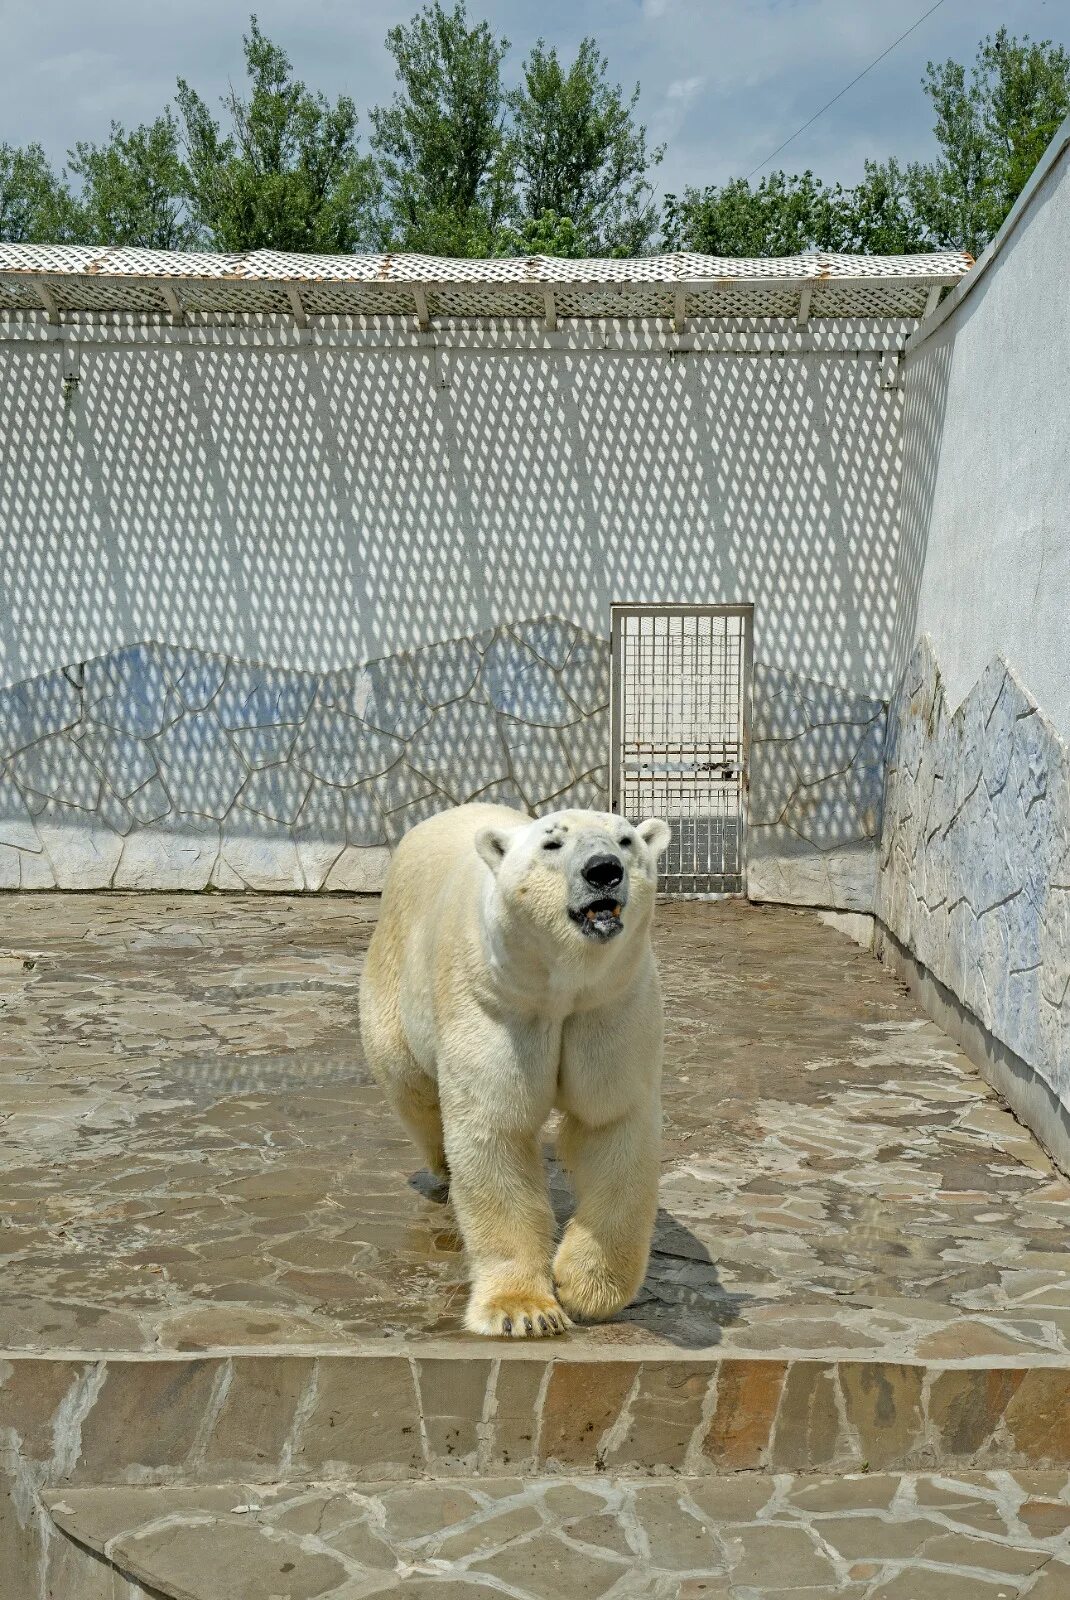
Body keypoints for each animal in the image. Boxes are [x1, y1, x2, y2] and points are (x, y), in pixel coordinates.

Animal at [358, 800, 668, 1337]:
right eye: (552, 843)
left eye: (626, 840)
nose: (604, 870)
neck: (560, 988)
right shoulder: (498, 1005)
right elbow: (497, 1127)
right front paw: (524, 1310)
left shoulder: (608, 1006)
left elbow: (613, 1123)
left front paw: (587, 1288)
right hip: (395, 977)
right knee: (410, 1085)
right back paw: (442, 1169)